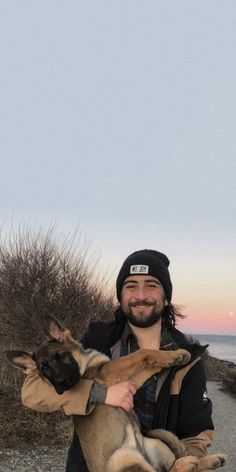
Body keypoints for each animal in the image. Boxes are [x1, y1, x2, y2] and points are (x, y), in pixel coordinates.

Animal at [5, 318, 225, 472]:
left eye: (61, 356)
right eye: (44, 369)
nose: (61, 384)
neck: (84, 364)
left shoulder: (130, 379)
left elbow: (149, 365)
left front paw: (172, 358)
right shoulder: (111, 372)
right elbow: (143, 353)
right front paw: (177, 354)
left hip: (155, 444)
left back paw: (209, 460)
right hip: (123, 458)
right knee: (170, 470)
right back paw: (190, 463)